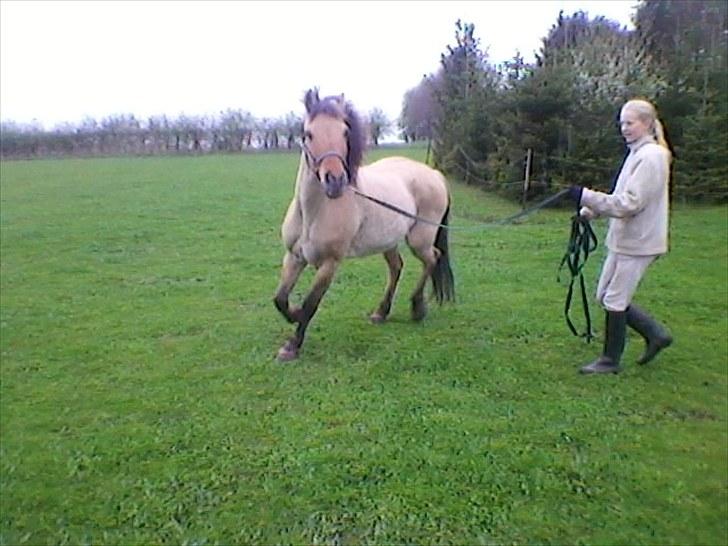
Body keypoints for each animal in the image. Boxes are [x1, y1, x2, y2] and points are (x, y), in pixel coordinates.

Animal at [272, 88, 456, 362]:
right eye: (309, 134)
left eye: (344, 132)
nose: (335, 181)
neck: (313, 212)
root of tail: (434, 175)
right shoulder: (294, 257)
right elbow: (280, 299)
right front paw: (292, 315)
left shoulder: (330, 264)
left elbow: (311, 303)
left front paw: (292, 345)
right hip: (389, 241)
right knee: (397, 267)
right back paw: (382, 312)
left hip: (419, 240)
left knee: (432, 258)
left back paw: (417, 308)